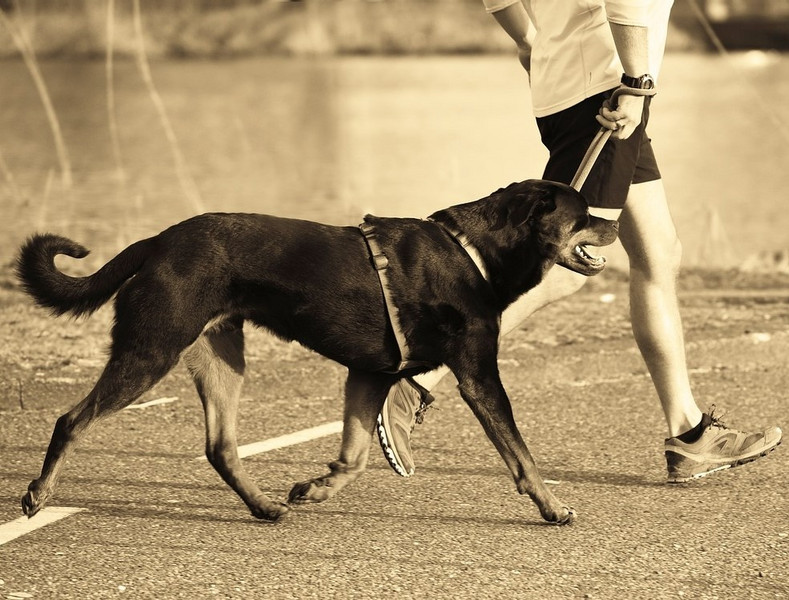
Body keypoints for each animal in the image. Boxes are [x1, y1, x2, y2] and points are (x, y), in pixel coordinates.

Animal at [16, 179, 618, 525]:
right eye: (585, 211)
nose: (615, 222)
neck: (474, 251)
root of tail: (158, 241)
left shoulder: (369, 374)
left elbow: (355, 455)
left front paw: (316, 489)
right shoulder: (478, 375)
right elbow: (522, 454)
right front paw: (553, 508)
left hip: (220, 356)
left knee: (220, 446)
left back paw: (263, 506)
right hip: (151, 349)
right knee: (71, 420)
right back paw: (38, 494)